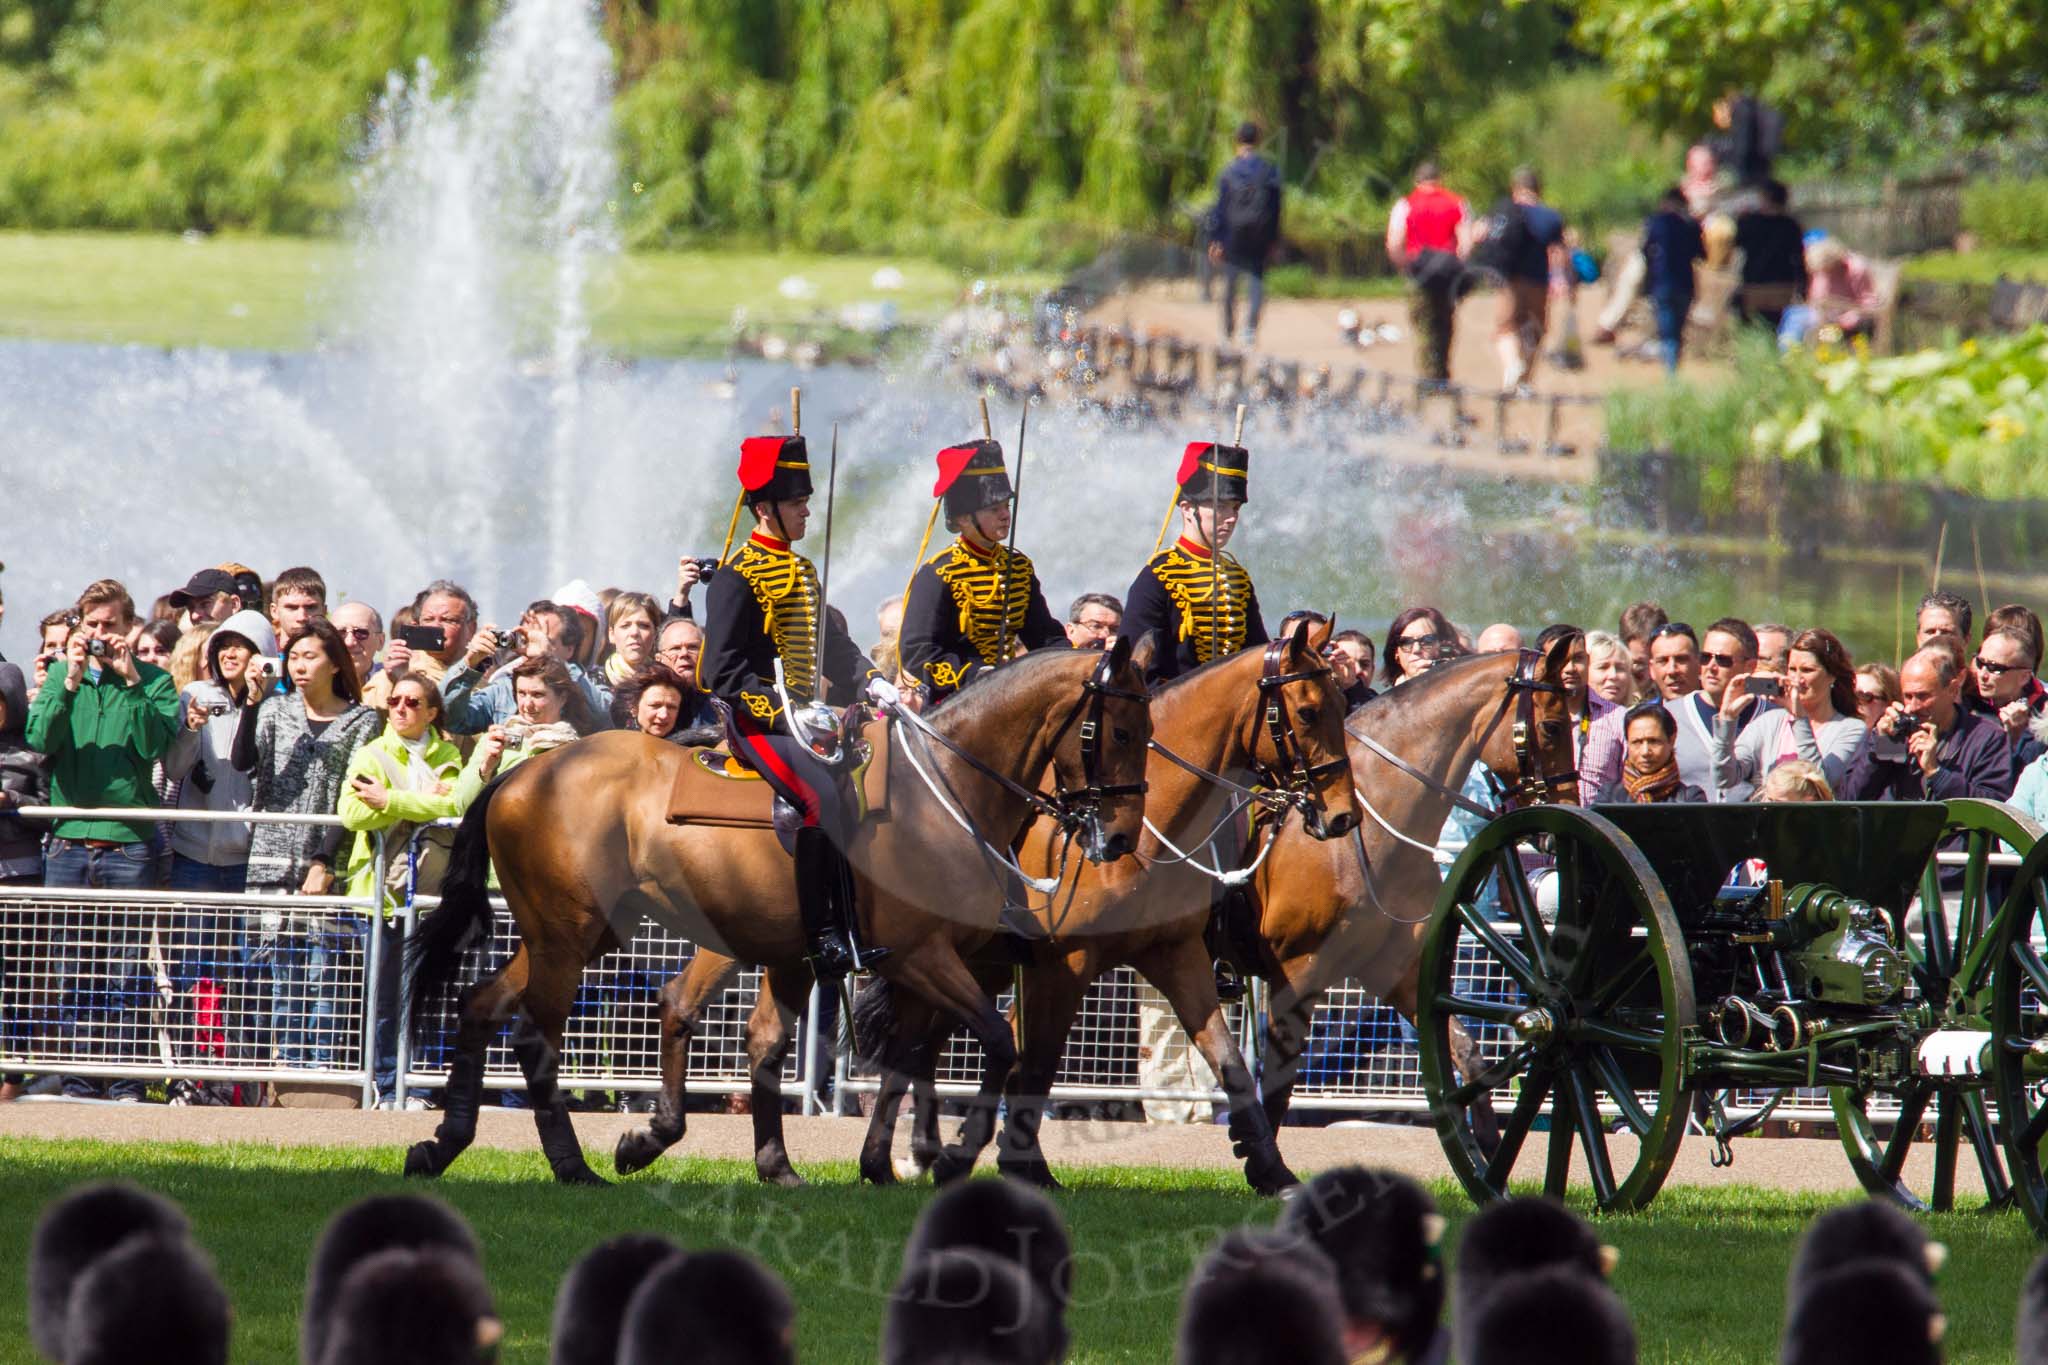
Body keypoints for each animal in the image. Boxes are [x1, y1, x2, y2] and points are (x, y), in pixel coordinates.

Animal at [397, 642, 1155, 1186]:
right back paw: (570, 1164)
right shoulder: (920, 957)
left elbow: (879, 1059)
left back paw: (444, 1145)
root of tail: (526, 772)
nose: (1120, 837)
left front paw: (841, 1164)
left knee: (481, 1003)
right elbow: (996, 1042)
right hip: (568, 936)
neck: (942, 792)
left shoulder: (859, 961)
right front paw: (954, 1156)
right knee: (535, 1035)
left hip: (580, 933)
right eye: (1118, 730)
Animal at [847, 626, 1359, 1203]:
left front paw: (1270, 1169)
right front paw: (1023, 1164)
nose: (1344, 815)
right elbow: (1038, 1064)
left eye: (1341, 704)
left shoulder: (1176, 955)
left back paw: (909, 1155)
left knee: (920, 1044)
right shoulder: (1062, 965)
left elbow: (1228, 1061)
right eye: (1309, 711)